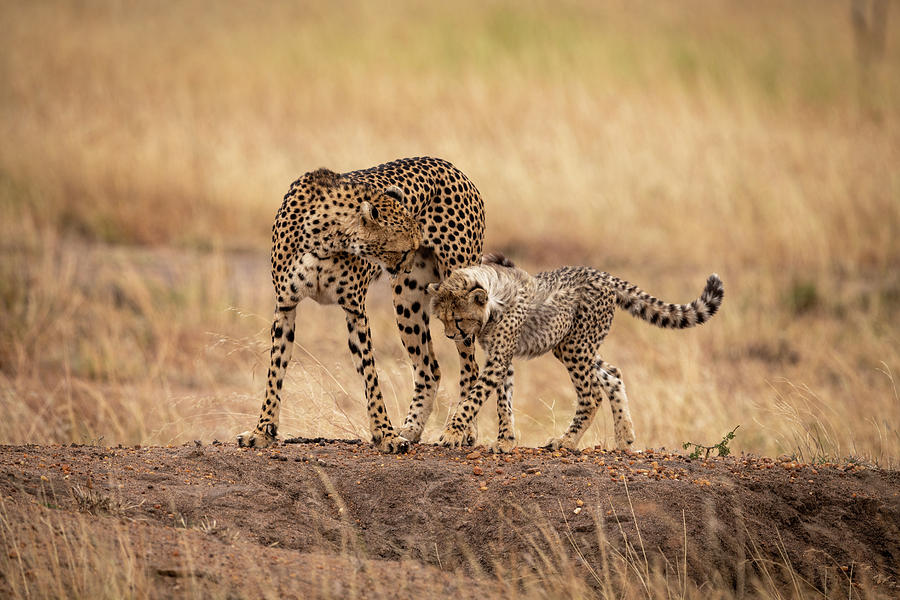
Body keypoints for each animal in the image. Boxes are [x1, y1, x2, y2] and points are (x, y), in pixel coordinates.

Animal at [236, 157, 482, 452]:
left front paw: (385, 434)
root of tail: (446, 164)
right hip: (406, 301)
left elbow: (370, 376)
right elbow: (275, 370)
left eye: (415, 245)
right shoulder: (285, 306)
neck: (325, 239)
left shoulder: (355, 311)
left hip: (456, 293)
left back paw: (461, 431)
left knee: (471, 367)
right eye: (404, 249)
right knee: (428, 369)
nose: (408, 267)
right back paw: (411, 428)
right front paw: (261, 431)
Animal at [428, 252, 724, 450]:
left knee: (592, 395)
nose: (450, 336)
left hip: (575, 346)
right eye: (442, 319)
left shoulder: (499, 359)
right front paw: (506, 441)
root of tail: (600, 273)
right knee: (613, 374)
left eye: (458, 319)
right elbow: (504, 402)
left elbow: (473, 398)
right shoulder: (502, 359)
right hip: (575, 344)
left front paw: (452, 434)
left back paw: (566, 441)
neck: (493, 301)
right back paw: (624, 437)